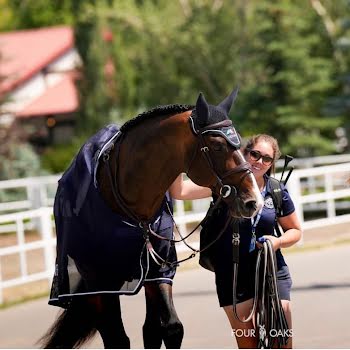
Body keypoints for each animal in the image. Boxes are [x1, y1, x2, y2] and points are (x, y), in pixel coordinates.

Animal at [39, 88, 262, 348]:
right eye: (217, 146)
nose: (253, 201)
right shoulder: (101, 281)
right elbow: (117, 337)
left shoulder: (159, 269)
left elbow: (171, 327)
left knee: (151, 328)